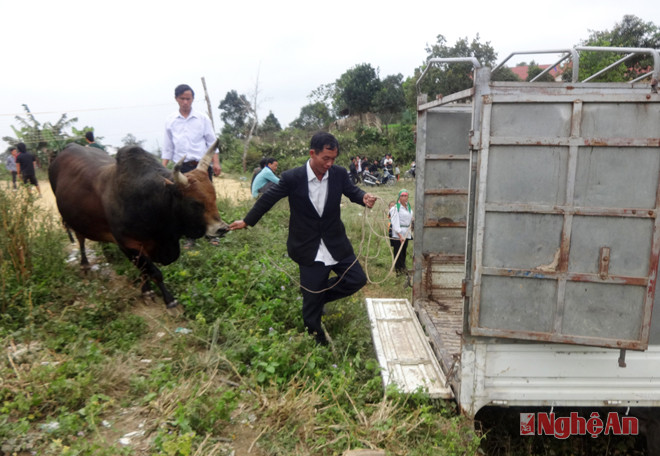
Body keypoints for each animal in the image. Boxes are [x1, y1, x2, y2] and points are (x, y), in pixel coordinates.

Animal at [46, 141, 227, 308]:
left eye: (214, 196)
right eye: (195, 203)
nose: (222, 228)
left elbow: (144, 270)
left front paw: (146, 290)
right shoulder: (128, 244)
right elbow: (153, 271)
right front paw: (168, 299)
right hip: (71, 219)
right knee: (81, 238)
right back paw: (84, 264)